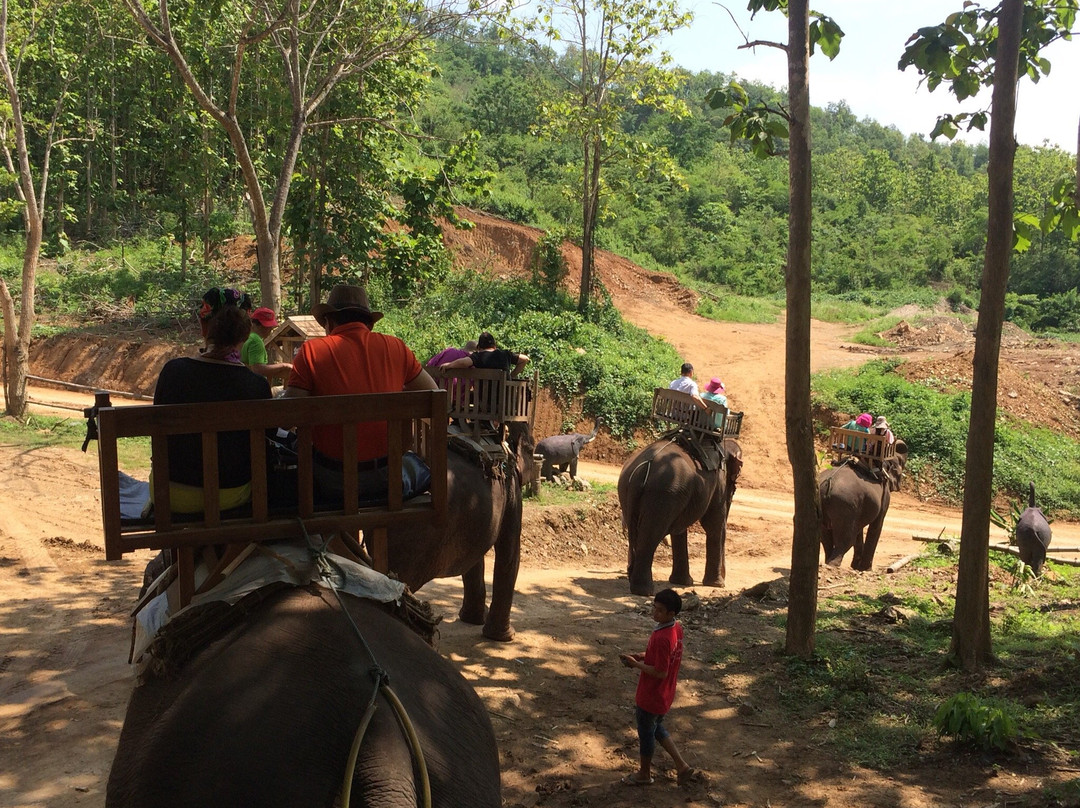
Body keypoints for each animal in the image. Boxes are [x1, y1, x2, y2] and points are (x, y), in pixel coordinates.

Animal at [383, 422, 534, 641]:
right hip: (409, 535)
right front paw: (505, 637)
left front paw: (472, 619)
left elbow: (474, 560)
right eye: (531, 449)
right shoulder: (512, 488)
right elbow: (509, 552)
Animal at [618, 435, 742, 597]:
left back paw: (633, 579)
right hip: (663, 494)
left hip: (631, 491)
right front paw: (716, 584)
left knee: (637, 534)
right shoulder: (718, 483)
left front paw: (682, 582)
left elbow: (680, 530)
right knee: (650, 537)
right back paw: (645, 591)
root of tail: (643, 468)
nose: (724, 577)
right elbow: (713, 524)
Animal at [818, 440, 909, 570]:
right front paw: (865, 569)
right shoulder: (884, 495)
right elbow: (877, 525)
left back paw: (827, 562)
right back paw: (833, 565)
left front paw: (856, 567)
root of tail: (828, 482)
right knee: (845, 539)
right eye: (899, 470)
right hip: (845, 504)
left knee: (825, 536)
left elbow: (859, 529)